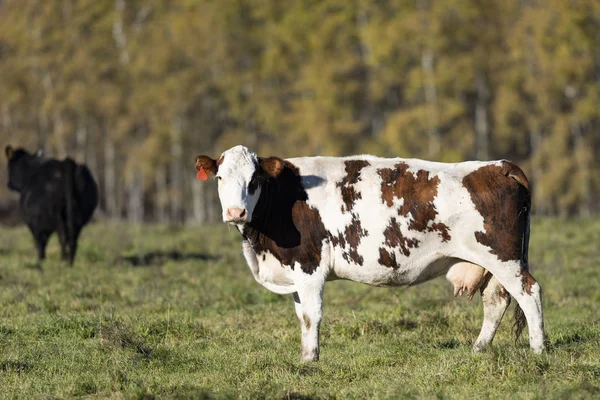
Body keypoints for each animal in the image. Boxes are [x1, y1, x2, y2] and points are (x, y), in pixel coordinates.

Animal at [195, 145, 548, 360]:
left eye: (254, 179)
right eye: (220, 177)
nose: (236, 212)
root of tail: (497, 165)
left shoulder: (309, 266)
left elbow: (312, 315)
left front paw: (310, 360)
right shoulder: (296, 270)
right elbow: (302, 316)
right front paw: (306, 356)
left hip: (504, 258)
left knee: (529, 292)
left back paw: (539, 350)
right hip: (490, 263)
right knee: (496, 302)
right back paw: (478, 349)